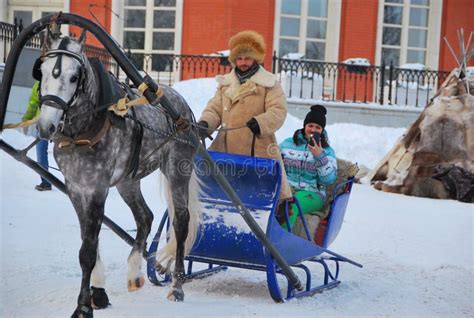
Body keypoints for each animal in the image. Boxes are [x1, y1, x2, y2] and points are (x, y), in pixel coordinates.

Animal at [35, 30, 202, 318]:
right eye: (42, 72)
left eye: (74, 77)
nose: (47, 126)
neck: (85, 130)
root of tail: (182, 106)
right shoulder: (76, 188)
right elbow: (87, 243)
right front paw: (97, 294)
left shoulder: (97, 188)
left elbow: (88, 251)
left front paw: (82, 306)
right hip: (128, 180)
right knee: (145, 217)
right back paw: (134, 270)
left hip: (177, 169)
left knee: (181, 223)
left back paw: (177, 286)